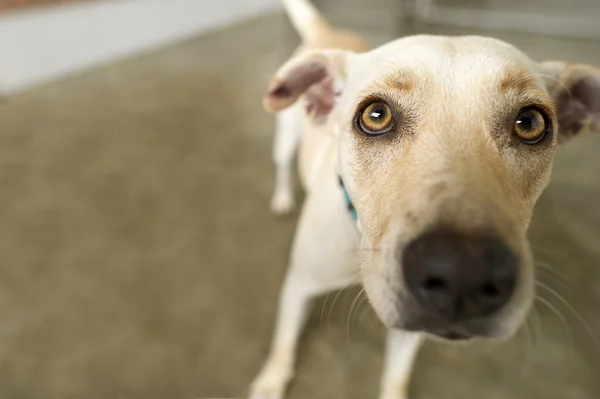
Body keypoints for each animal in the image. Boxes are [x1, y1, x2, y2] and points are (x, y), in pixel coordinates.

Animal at [251, 0, 596, 399]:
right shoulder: (298, 286)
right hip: (285, 140)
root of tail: (330, 34)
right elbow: (284, 342)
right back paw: (282, 198)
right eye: (375, 115)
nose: (463, 274)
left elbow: (396, 374)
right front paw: (272, 380)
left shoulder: (411, 332)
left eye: (530, 123)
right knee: (282, 165)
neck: (361, 242)